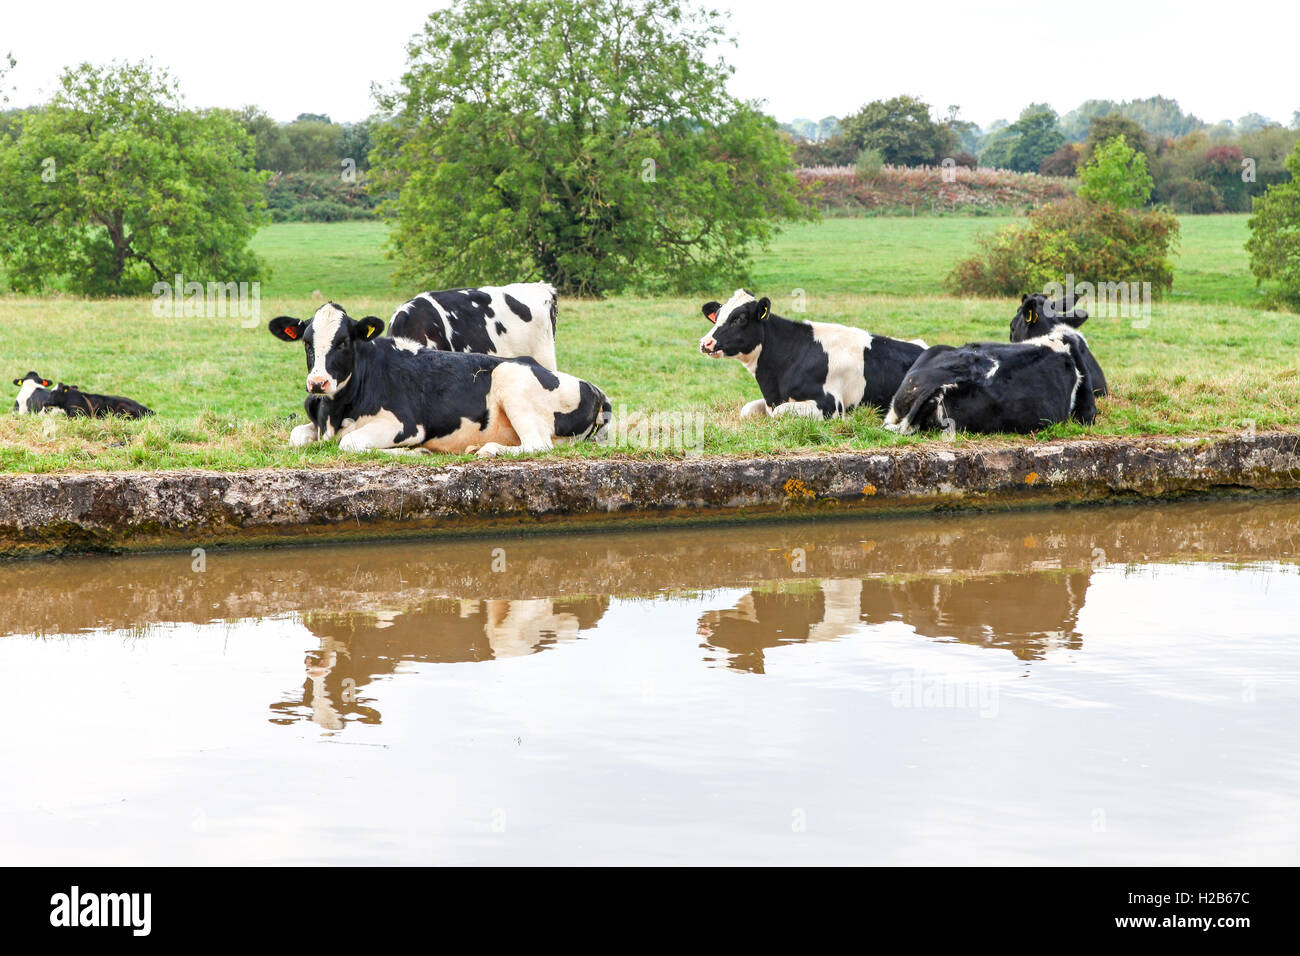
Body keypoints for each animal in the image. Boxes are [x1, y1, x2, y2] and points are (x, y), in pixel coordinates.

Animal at [268, 302, 610, 457]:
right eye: (307, 343)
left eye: (343, 342)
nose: (318, 383)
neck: (336, 411)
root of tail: (594, 388)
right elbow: (297, 436)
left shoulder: (406, 425)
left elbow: (350, 443)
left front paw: (414, 451)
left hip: (511, 377)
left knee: (538, 445)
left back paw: (488, 449)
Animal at [698, 290, 927, 420]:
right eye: (718, 316)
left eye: (740, 318)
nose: (705, 343)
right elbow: (746, 410)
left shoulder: (830, 404)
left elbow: (780, 414)